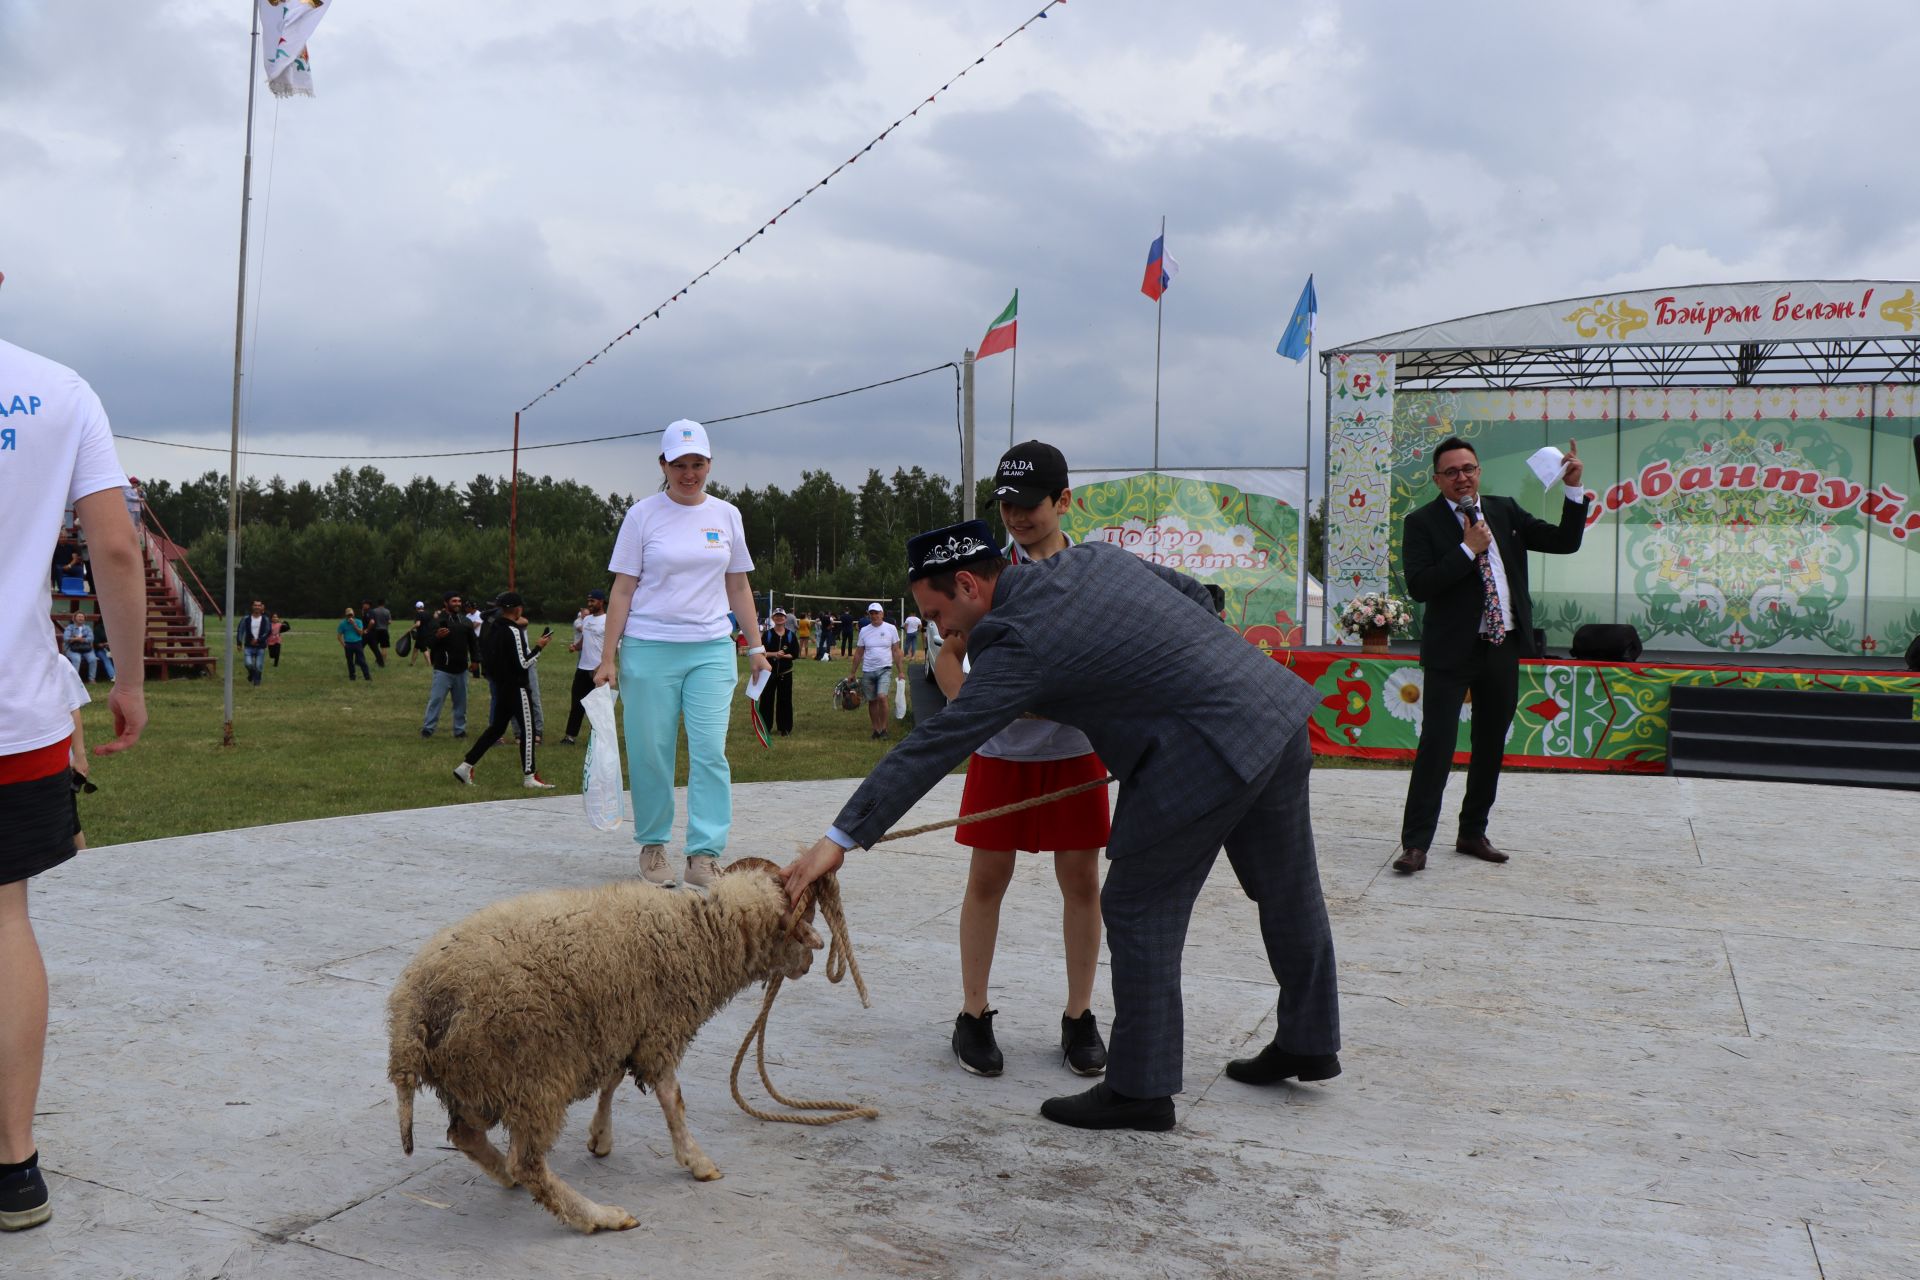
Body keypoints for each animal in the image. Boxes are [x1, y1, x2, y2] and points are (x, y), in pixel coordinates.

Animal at [387, 855, 825, 1235]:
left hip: (477, 1078)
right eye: (798, 926)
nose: (809, 964)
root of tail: (412, 1011)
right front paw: (697, 1161)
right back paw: (598, 1216)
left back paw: (504, 1174)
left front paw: (600, 1137)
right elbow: (672, 1099)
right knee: (528, 1164)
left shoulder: (622, 1026)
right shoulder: (659, 1031)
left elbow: (612, 1080)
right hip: (529, 1078)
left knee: (466, 1135)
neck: (702, 936)